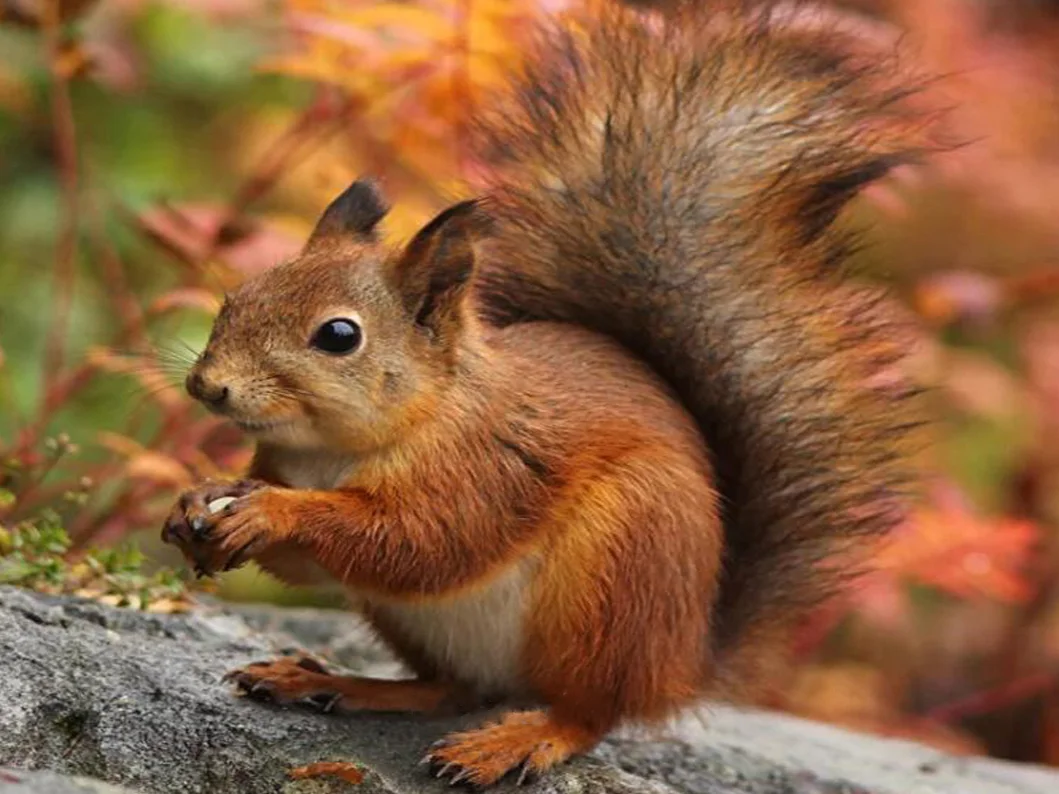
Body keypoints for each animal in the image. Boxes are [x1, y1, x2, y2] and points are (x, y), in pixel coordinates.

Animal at [162, 0, 928, 787]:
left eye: (339, 336)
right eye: (238, 295)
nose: (207, 385)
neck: (339, 448)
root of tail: (680, 666)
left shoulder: (487, 468)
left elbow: (418, 543)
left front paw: (274, 512)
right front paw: (200, 498)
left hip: (617, 575)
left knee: (588, 711)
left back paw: (515, 739)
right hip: (422, 622)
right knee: (453, 688)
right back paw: (334, 681)